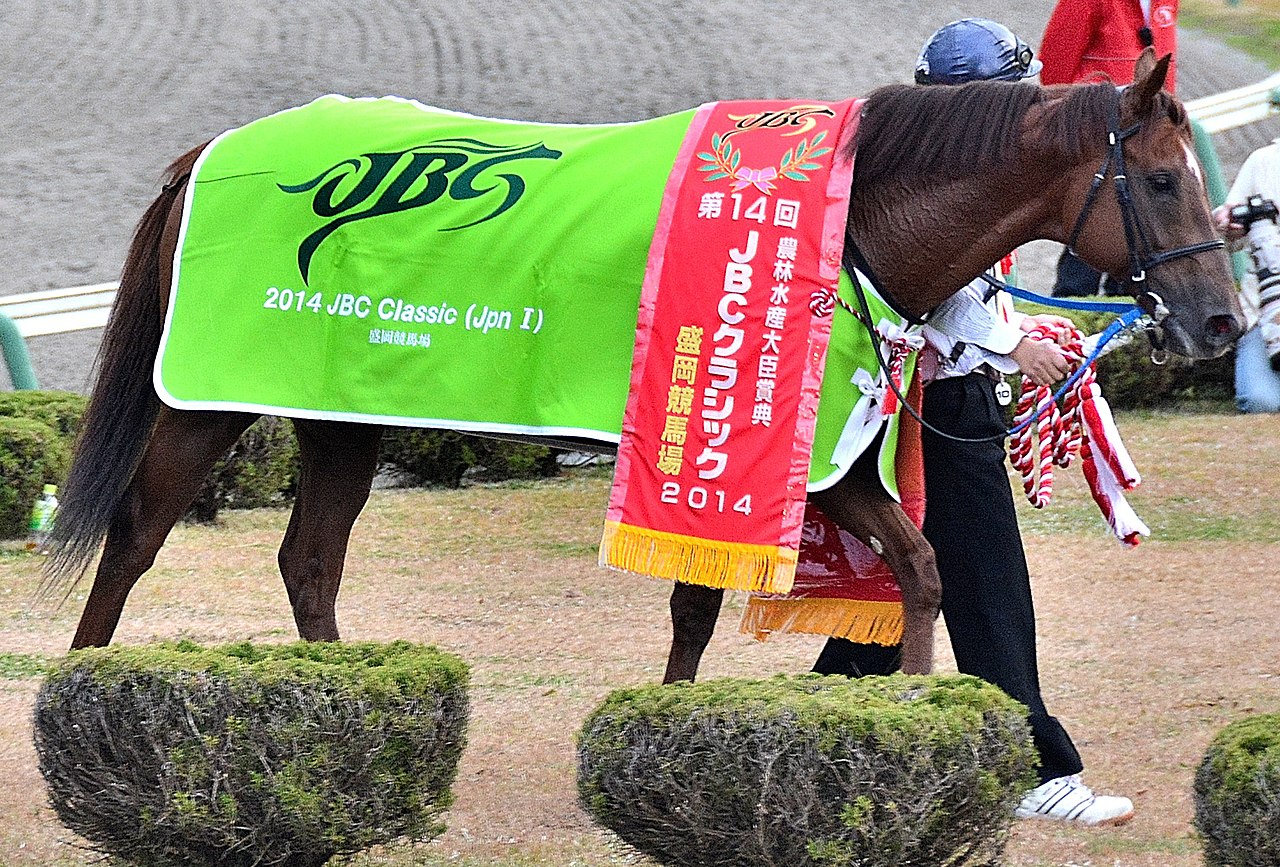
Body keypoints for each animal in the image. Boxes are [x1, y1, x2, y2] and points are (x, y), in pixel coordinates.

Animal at [47, 52, 1239, 681]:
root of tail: (208, 152)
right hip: (208, 400)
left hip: (341, 409)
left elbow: (914, 569)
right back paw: (80, 681)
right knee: (137, 532)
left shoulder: (801, 460)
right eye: (1162, 180)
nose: (1221, 321)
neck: (845, 222)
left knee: (310, 559)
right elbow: (713, 602)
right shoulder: (749, 445)